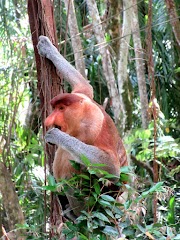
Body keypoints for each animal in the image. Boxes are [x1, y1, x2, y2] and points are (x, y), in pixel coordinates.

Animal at [37, 36, 127, 218]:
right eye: (54, 107)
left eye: (61, 109)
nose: (48, 120)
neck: (83, 113)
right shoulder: (82, 95)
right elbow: (85, 85)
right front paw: (47, 48)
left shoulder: (94, 126)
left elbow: (111, 168)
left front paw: (55, 136)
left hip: (96, 200)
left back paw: (75, 213)